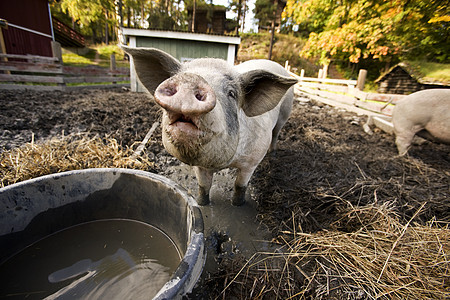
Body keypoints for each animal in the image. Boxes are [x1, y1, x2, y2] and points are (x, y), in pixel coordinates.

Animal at [124, 47, 298, 206]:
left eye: (232, 93)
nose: (191, 79)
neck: (224, 163)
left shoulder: (252, 160)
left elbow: (240, 186)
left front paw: (237, 204)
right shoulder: (200, 166)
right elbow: (204, 186)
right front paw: (202, 203)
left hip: (285, 113)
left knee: (276, 133)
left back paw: (273, 153)